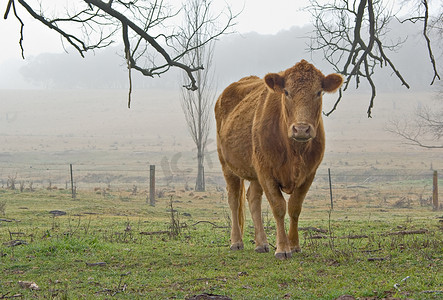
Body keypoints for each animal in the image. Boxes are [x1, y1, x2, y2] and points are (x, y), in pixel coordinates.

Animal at [215, 59, 344, 258]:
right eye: (287, 92)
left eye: (318, 92)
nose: (301, 129)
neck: (294, 151)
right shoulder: (266, 172)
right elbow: (279, 207)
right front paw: (283, 248)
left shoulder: (309, 173)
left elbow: (294, 207)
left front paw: (295, 245)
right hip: (228, 166)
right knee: (234, 199)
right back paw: (236, 241)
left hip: (255, 173)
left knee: (253, 198)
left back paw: (261, 243)